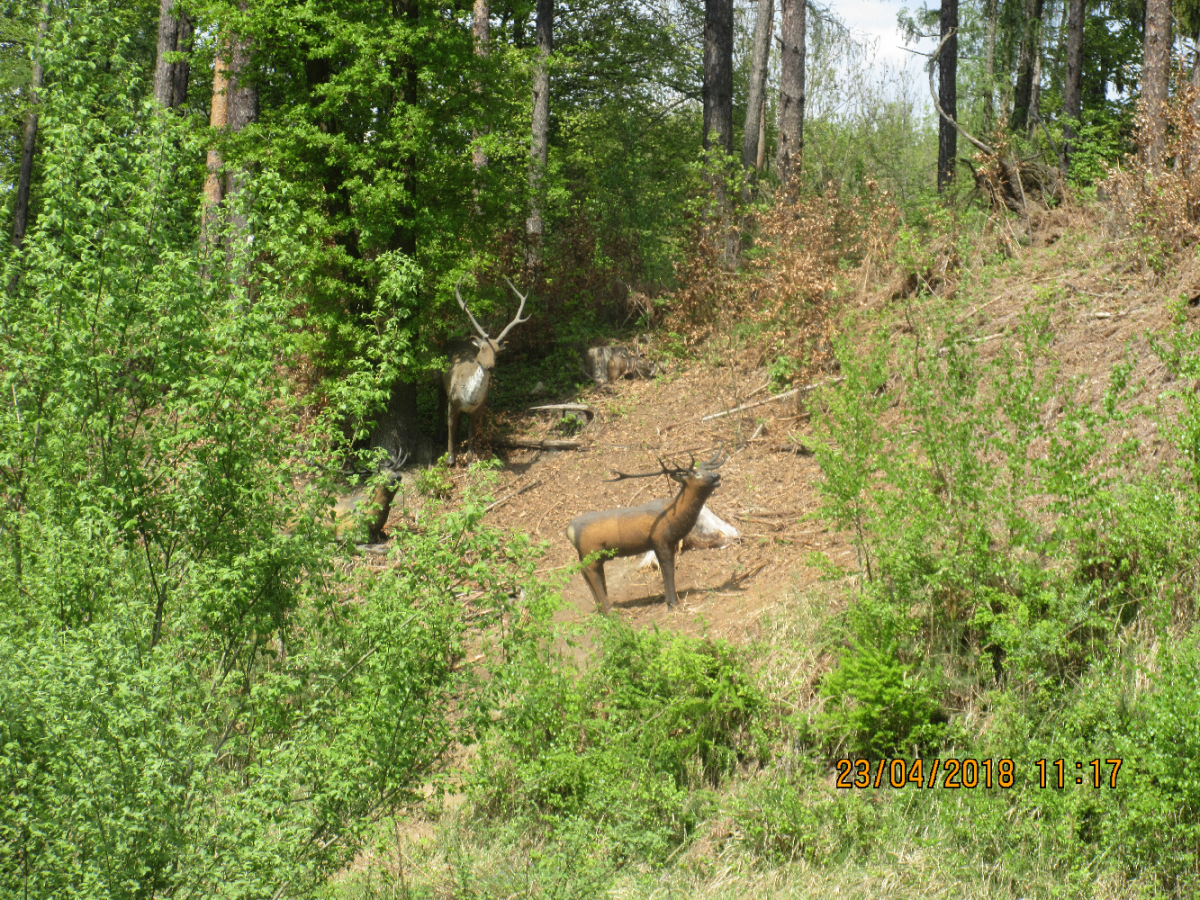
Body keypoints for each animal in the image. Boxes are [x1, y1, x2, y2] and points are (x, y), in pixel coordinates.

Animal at [444, 280, 532, 468]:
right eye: (483, 348)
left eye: (497, 352)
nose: (490, 366)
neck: (469, 398)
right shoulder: (452, 401)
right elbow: (450, 426)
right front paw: (451, 459)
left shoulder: (478, 408)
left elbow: (471, 432)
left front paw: (470, 461)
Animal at [566, 453, 724, 619]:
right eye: (697, 474)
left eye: (706, 470)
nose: (716, 475)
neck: (674, 518)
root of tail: (569, 530)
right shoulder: (660, 540)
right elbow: (669, 570)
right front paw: (673, 604)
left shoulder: (663, 544)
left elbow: (665, 570)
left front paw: (668, 601)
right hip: (591, 551)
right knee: (591, 573)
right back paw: (609, 611)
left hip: (590, 555)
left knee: (586, 572)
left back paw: (600, 609)